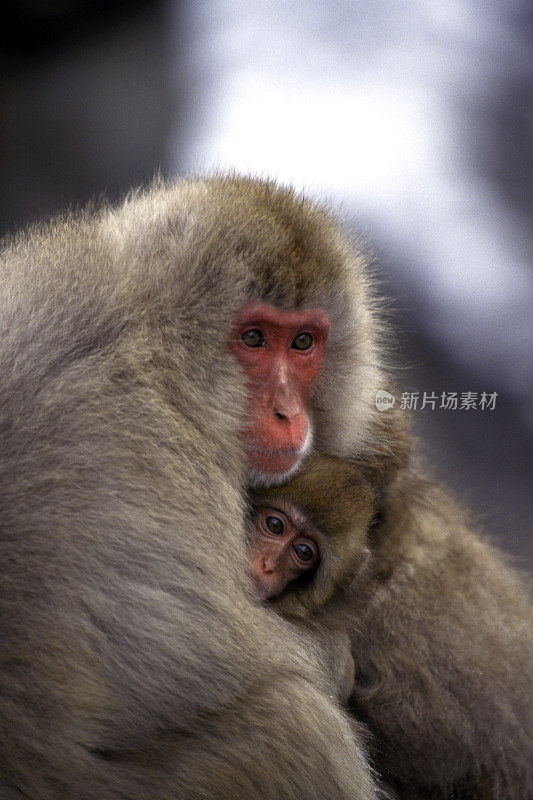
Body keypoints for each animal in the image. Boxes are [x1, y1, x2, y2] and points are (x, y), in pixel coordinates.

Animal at [0, 178, 384, 800]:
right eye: (253, 338)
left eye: (303, 342)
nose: (288, 413)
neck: (152, 341)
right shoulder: (157, 455)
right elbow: (203, 660)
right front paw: (336, 657)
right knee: (299, 726)